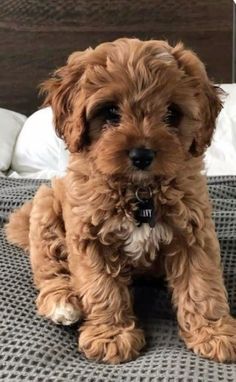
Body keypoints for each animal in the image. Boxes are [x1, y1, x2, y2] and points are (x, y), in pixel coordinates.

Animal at [6, 38, 236, 364]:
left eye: (172, 113)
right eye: (110, 112)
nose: (142, 155)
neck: (139, 192)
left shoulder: (194, 232)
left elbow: (202, 285)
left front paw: (215, 333)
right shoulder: (89, 238)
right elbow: (102, 288)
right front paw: (112, 337)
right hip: (46, 207)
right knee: (50, 269)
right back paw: (63, 302)